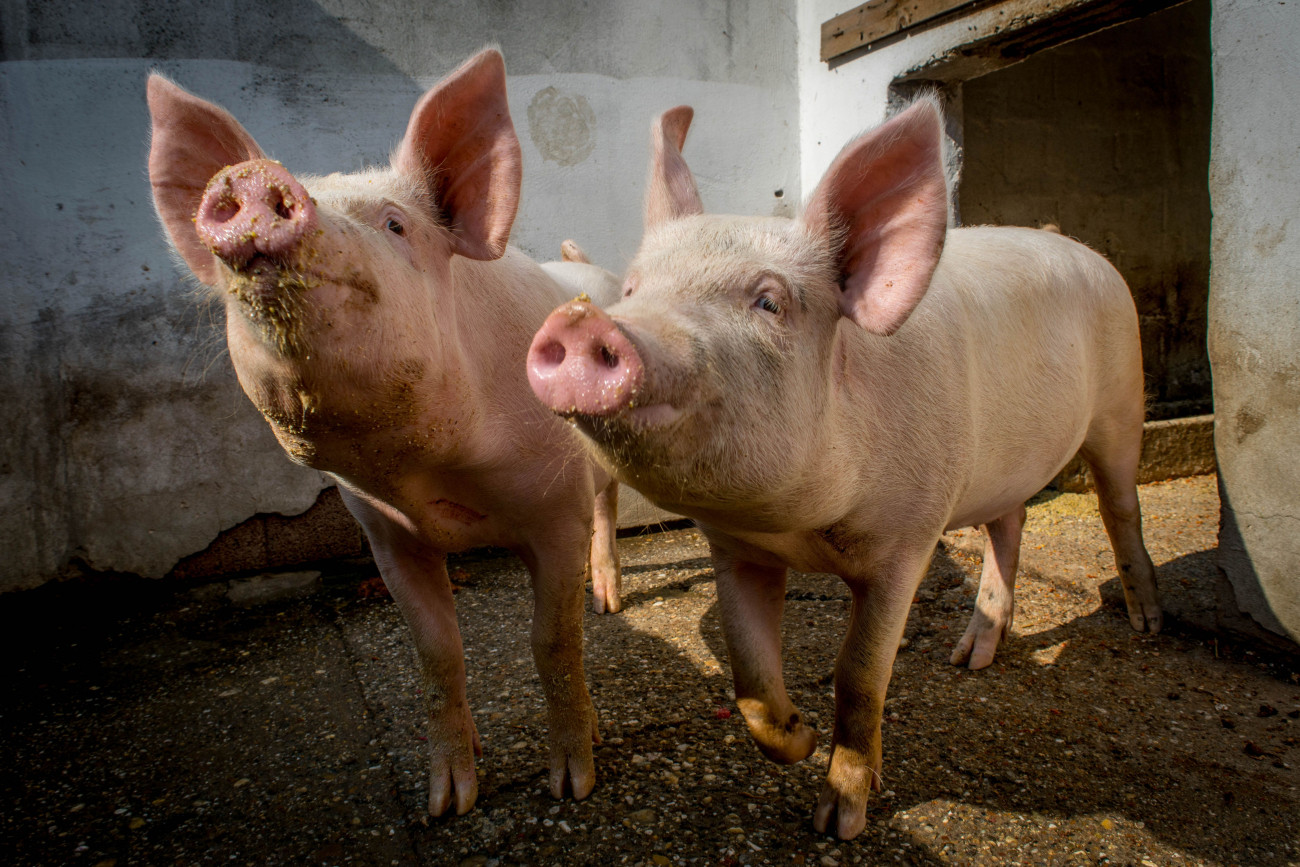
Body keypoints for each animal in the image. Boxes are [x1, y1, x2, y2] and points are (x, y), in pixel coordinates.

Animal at [148, 51, 624, 816]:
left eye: (396, 225)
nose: (251, 179)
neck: (430, 473)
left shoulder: (554, 509)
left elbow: (553, 643)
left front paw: (573, 787)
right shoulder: (383, 532)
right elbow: (437, 653)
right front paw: (448, 803)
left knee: (608, 507)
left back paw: (608, 604)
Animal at [522, 98, 1164, 837]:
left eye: (769, 301)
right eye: (630, 288)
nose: (581, 323)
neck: (796, 529)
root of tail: (1074, 243)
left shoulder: (909, 538)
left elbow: (858, 676)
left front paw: (838, 820)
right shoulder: (736, 547)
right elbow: (748, 675)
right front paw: (797, 738)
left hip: (1123, 397)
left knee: (1121, 506)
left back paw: (1148, 623)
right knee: (1010, 524)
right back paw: (969, 657)